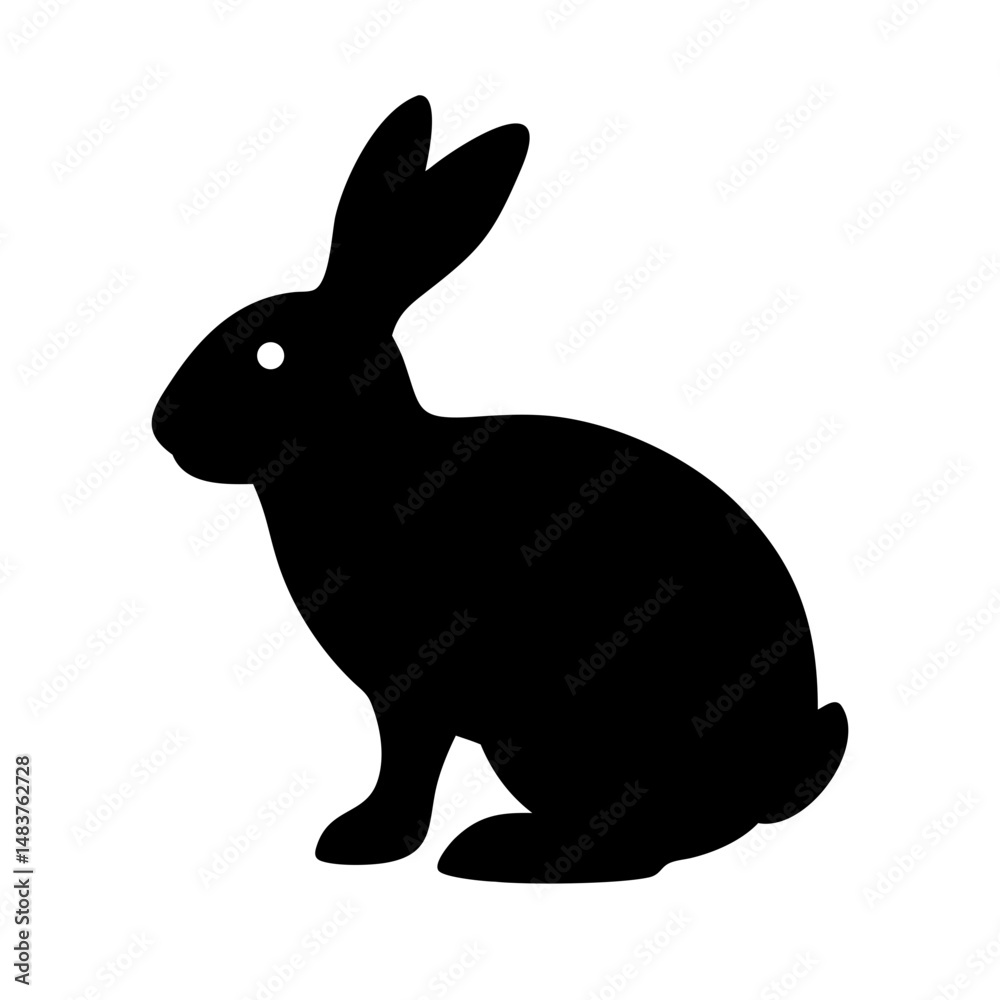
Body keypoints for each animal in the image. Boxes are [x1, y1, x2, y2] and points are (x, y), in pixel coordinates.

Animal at [153, 95, 848, 883]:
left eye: (271, 357)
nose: (162, 425)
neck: (367, 461)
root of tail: (769, 778)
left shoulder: (413, 692)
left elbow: (407, 766)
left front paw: (362, 841)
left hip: (549, 735)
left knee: (644, 841)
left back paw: (499, 850)